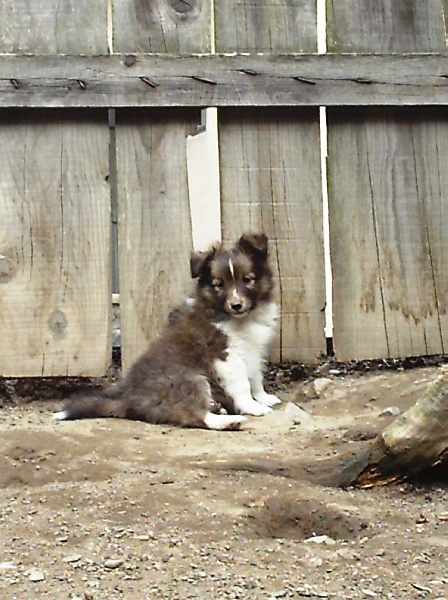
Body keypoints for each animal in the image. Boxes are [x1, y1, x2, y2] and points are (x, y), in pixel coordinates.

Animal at [54, 232, 282, 428]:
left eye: (247, 279)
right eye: (219, 284)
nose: (236, 305)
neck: (240, 319)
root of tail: (128, 400)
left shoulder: (254, 349)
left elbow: (256, 377)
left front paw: (264, 398)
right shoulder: (226, 354)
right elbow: (242, 384)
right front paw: (253, 406)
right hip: (189, 380)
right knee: (192, 415)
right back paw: (230, 420)